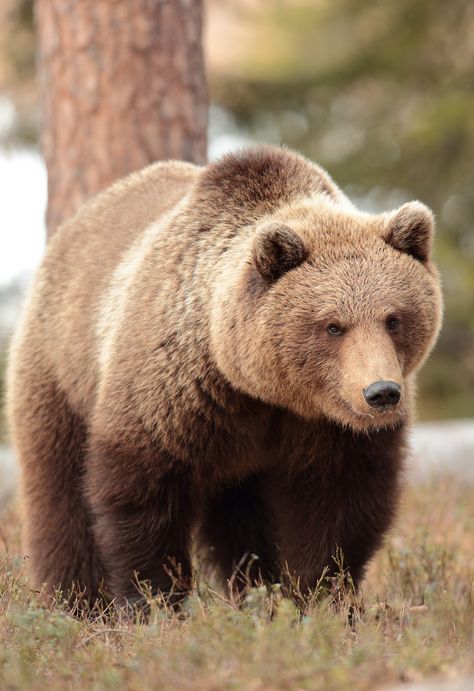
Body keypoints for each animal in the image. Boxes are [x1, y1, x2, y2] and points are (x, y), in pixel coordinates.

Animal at [7, 145, 442, 604]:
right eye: (333, 326)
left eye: (393, 319)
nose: (381, 392)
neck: (261, 391)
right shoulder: (172, 396)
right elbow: (140, 498)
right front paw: (152, 600)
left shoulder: (327, 429)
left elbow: (338, 507)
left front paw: (317, 594)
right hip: (61, 371)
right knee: (59, 493)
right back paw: (75, 599)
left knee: (243, 521)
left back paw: (255, 588)